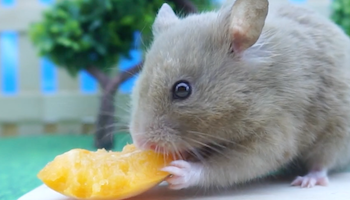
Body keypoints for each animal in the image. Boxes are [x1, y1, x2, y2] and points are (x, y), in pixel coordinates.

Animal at [128, 0, 350, 191]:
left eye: (182, 90)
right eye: (140, 81)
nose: (141, 143)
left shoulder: (276, 131)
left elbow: (229, 166)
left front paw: (179, 171)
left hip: (337, 134)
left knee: (323, 162)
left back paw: (306, 181)